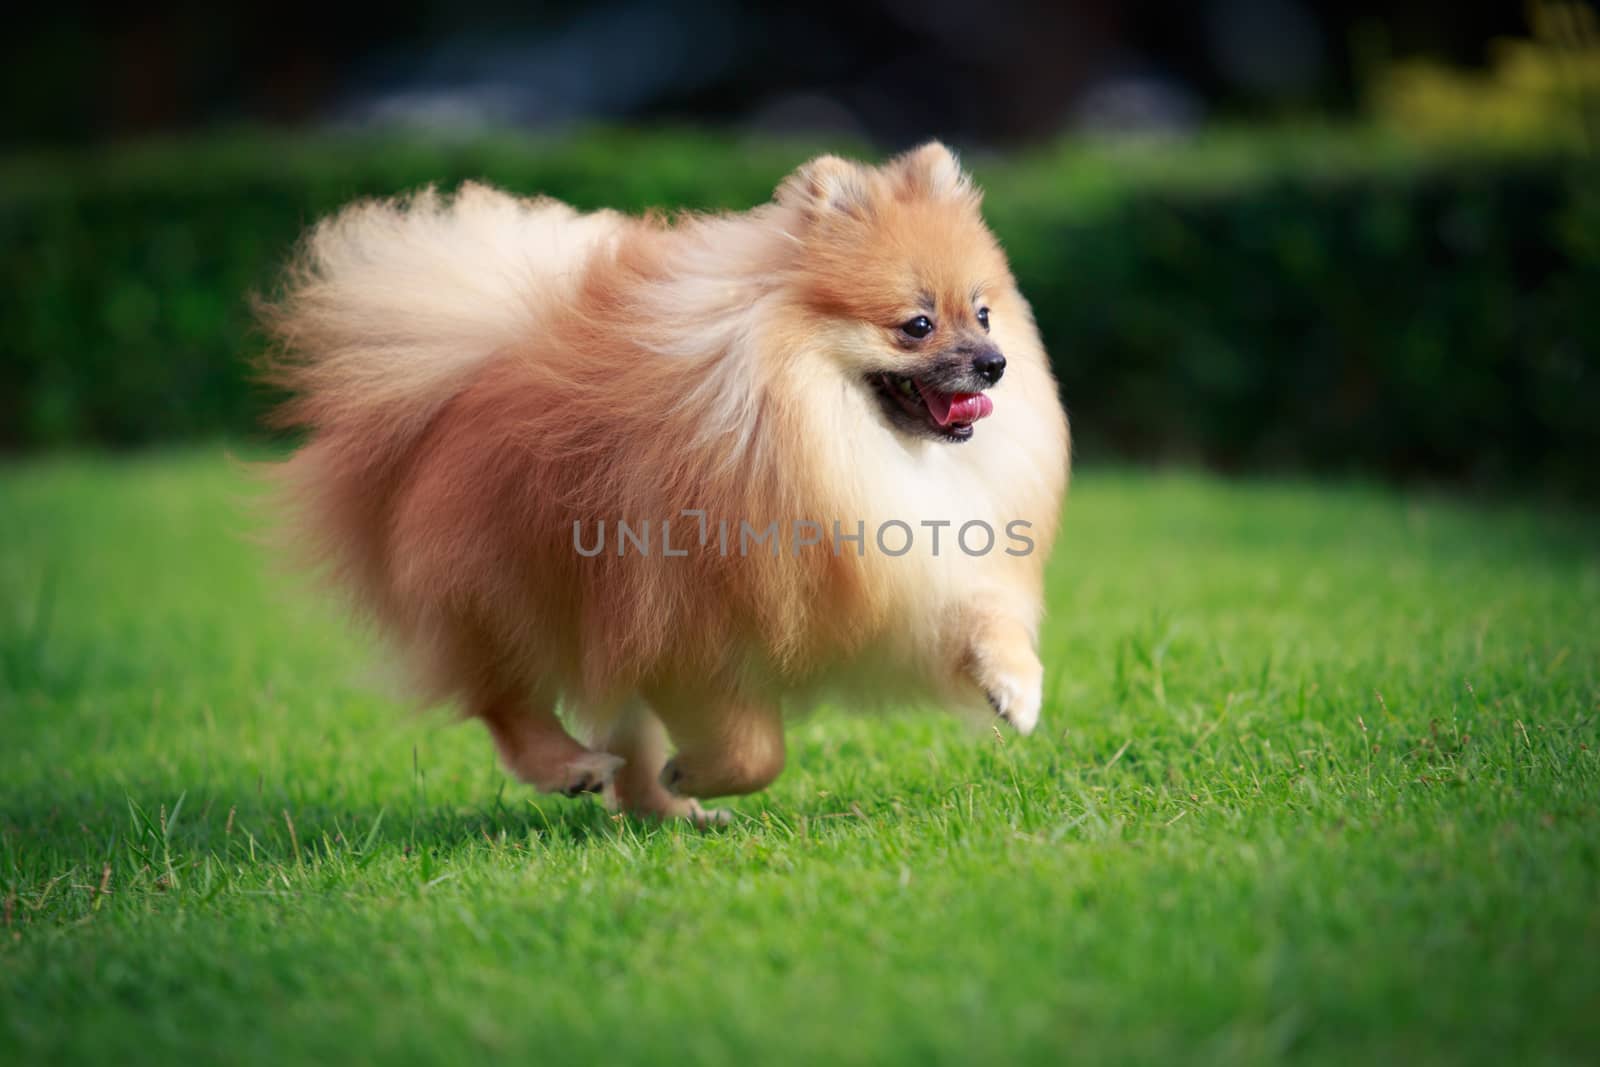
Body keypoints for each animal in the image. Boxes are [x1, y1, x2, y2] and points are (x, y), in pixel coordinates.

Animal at [262, 141, 1068, 825]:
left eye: (984, 313)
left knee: (617, 728)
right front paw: (701, 770)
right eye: (918, 324)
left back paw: (664, 810)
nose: (995, 363)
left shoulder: (915, 572)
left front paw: (1018, 687)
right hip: (504, 590)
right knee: (504, 696)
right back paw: (574, 768)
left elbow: (983, 613)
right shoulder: (694, 628)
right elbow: (757, 751)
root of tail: (469, 367)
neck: (833, 438)